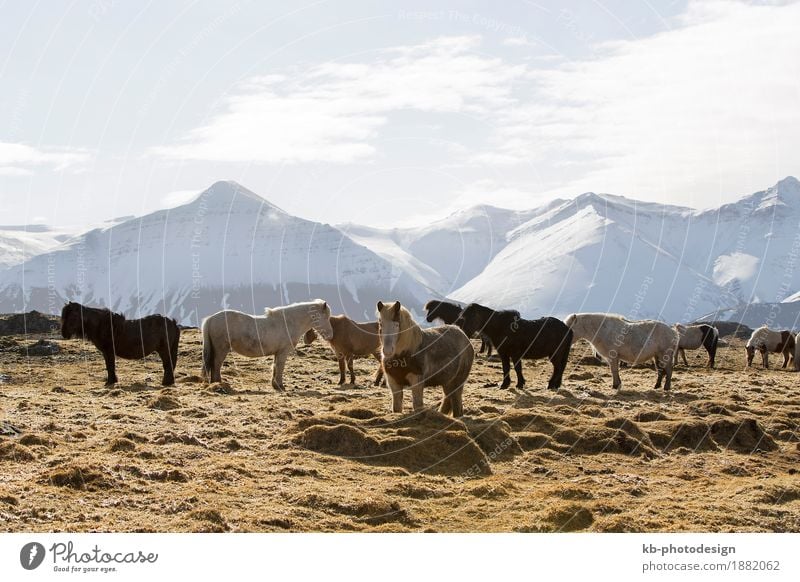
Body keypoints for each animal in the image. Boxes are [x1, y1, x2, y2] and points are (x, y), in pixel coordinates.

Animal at [205, 302, 336, 392]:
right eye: (325, 317)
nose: (330, 336)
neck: (289, 322)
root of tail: (210, 319)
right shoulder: (283, 352)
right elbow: (280, 368)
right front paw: (280, 386)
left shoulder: (277, 353)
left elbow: (275, 367)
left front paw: (275, 385)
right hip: (222, 349)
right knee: (216, 364)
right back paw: (218, 383)